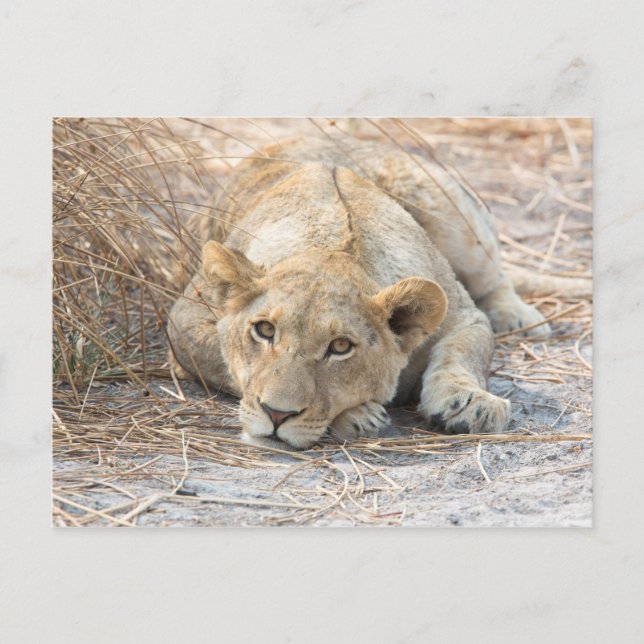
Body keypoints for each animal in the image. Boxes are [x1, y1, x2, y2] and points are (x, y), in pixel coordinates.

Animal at [167, 134, 551, 449]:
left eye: (340, 347)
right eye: (264, 330)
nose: (276, 414)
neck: (333, 245)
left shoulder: (465, 316)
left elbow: (463, 352)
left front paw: (471, 404)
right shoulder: (184, 322)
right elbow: (225, 365)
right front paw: (358, 415)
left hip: (454, 216)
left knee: (496, 277)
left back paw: (517, 316)